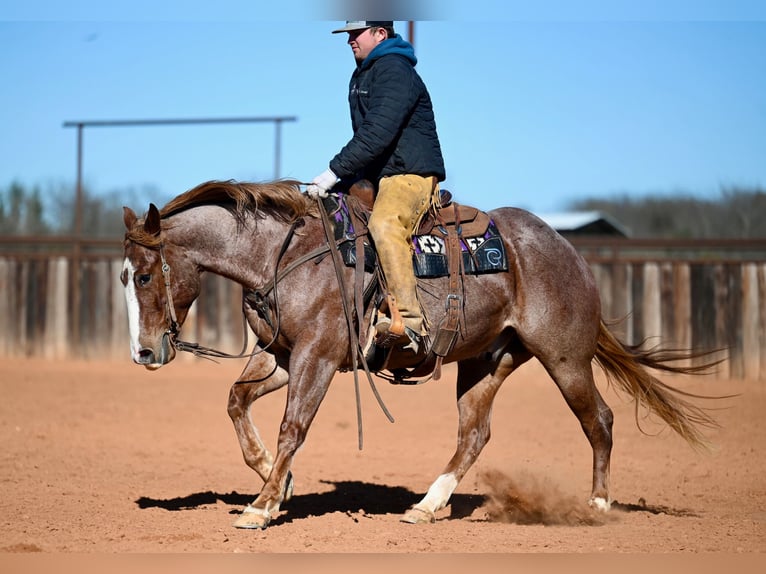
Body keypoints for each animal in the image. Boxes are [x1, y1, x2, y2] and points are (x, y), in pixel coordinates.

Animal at [121, 179, 720, 529]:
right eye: (125, 277)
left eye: (145, 275)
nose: (145, 353)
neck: (284, 254)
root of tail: (568, 251)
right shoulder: (283, 356)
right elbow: (236, 400)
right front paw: (276, 479)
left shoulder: (317, 357)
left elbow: (294, 426)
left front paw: (263, 505)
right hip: (485, 362)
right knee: (474, 435)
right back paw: (429, 505)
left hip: (565, 358)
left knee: (600, 419)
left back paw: (596, 505)